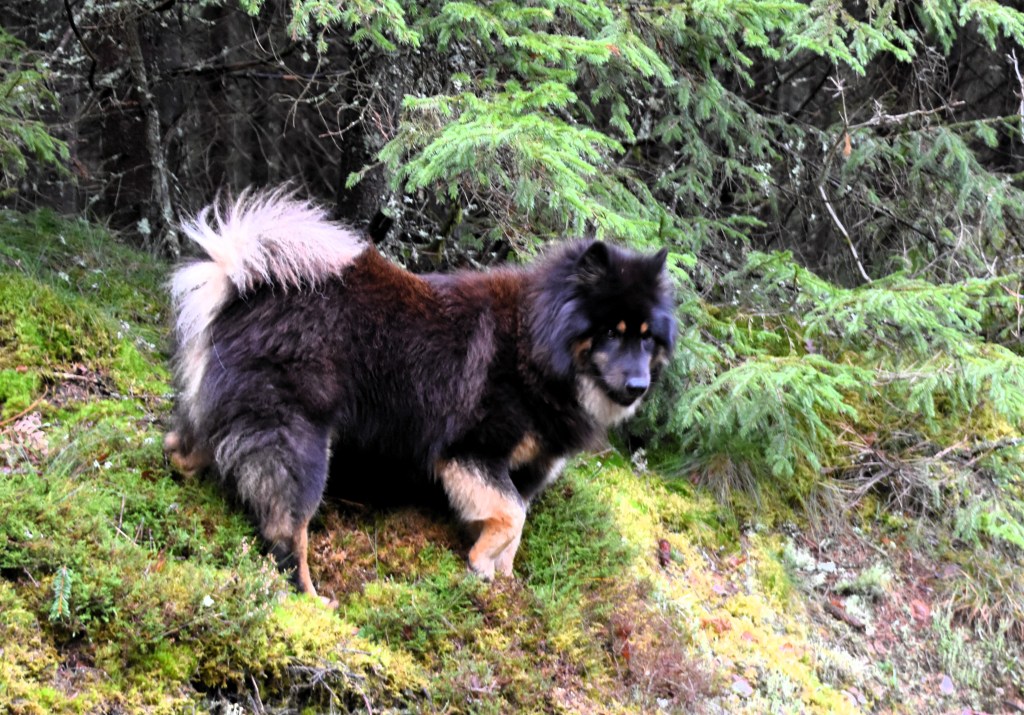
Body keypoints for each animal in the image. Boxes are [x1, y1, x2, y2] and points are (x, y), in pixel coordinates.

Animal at [164, 188, 676, 597]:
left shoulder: (528, 470)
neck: (536, 345)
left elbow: (516, 527)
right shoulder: (471, 453)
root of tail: (243, 287)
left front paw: (503, 583)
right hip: (300, 444)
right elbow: (512, 516)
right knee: (286, 530)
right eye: (610, 332)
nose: (639, 386)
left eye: (646, 337)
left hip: (221, 414)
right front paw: (481, 563)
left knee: (182, 448)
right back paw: (309, 598)